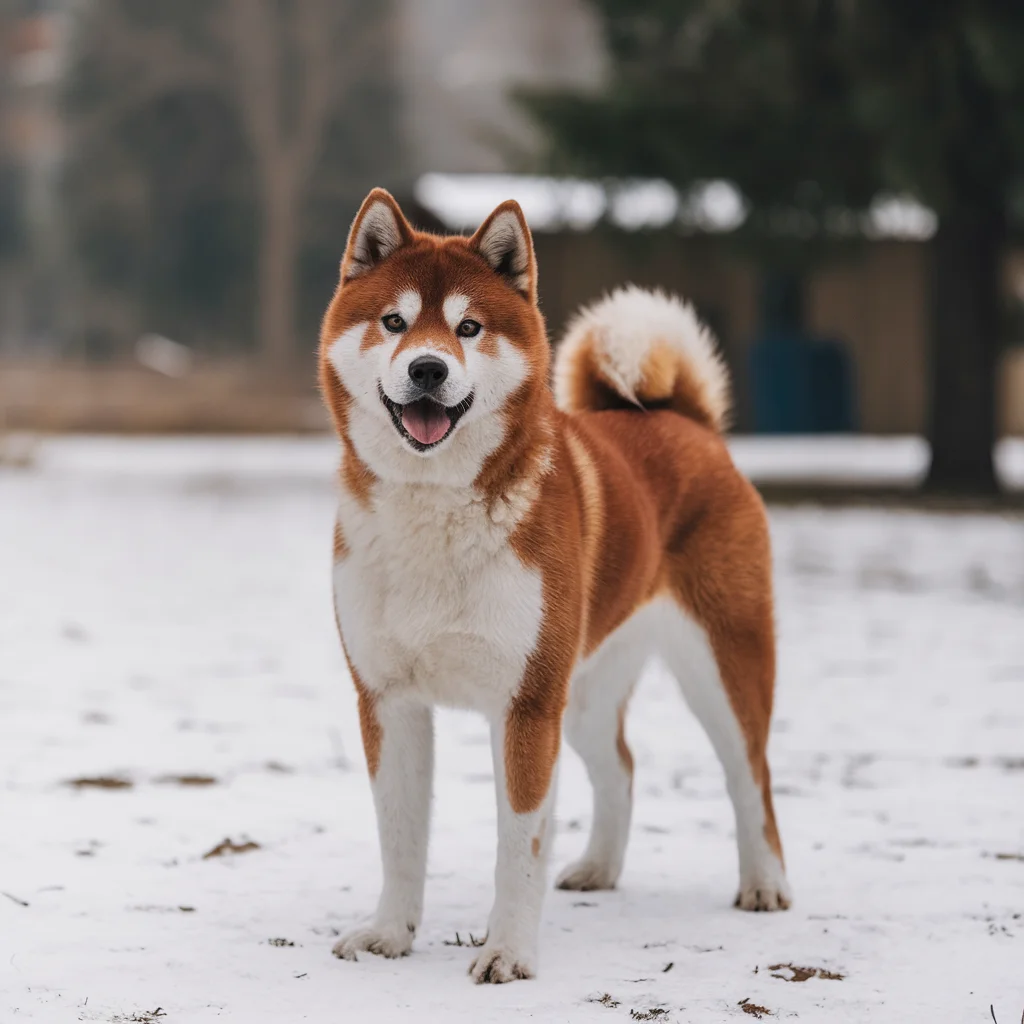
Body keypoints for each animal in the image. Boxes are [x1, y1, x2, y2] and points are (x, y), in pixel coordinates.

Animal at [319, 186, 790, 983]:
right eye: (394, 322)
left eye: (468, 328)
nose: (427, 370)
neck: (433, 509)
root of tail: (686, 422)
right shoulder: (388, 700)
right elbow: (400, 835)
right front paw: (389, 934)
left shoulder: (526, 707)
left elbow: (519, 847)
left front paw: (507, 953)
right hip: (586, 689)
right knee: (621, 767)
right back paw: (600, 869)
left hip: (722, 668)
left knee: (750, 775)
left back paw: (765, 884)